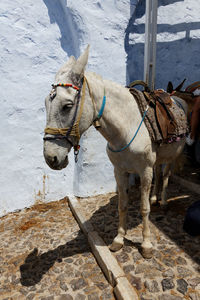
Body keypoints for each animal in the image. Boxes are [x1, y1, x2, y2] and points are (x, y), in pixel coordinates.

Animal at [43, 46, 188, 258]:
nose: (50, 158)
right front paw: (119, 239)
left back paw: (162, 201)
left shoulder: (144, 171)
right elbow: (122, 205)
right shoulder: (119, 171)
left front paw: (146, 244)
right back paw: (154, 198)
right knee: (159, 173)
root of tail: (175, 97)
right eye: (46, 103)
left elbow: (143, 208)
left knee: (167, 175)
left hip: (173, 155)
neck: (127, 127)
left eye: (67, 105)